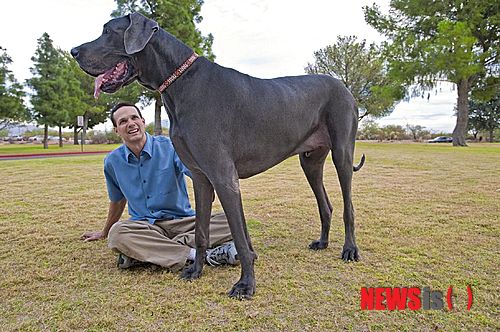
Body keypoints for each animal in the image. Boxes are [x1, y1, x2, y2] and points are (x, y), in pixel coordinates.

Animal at [71, 12, 364, 298]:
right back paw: (323, 242)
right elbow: (202, 230)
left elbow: (238, 233)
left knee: (348, 206)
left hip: (342, 153)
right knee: (325, 204)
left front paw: (246, 284)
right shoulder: (201, 177)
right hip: (310, 161)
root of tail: (344, 88)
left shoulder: (224, 177)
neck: (180, 83)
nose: (73, 51)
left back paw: (350, 250)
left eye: (108, 31)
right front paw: (196, 271)